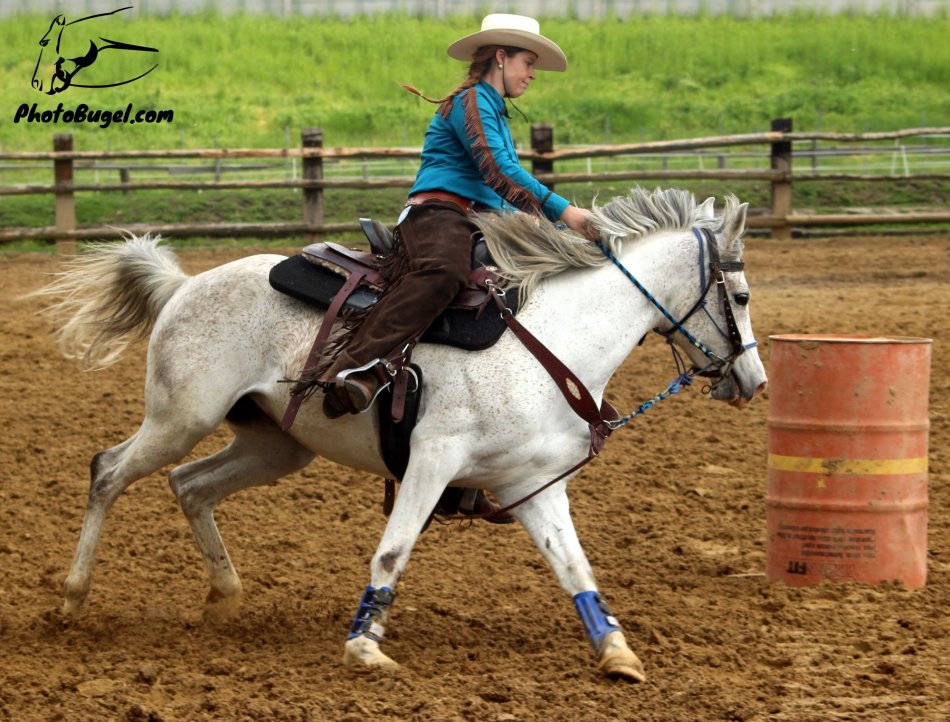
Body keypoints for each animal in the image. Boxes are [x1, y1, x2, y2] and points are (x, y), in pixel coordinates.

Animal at [34, 187, 767, 682]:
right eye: (743, 297)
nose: (754, 381)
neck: (553, 341)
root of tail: (184, 285)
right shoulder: (431, 461)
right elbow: (392, 552)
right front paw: (364, 645)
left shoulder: (530, 484)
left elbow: (574, 566)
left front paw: (616, 652)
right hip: (179, 419)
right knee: (108, 470)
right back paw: (72, 598)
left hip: (276, 446)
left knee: (191, 487)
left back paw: (224, 597)